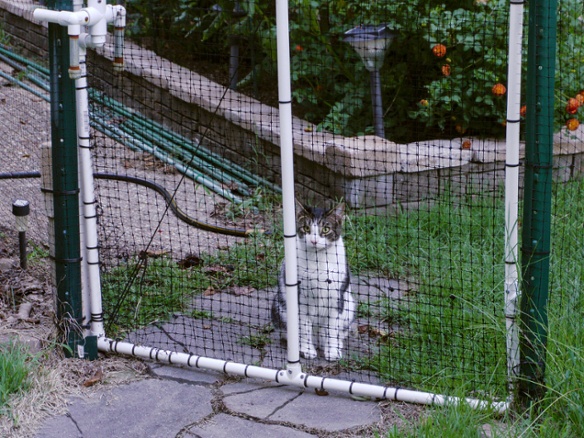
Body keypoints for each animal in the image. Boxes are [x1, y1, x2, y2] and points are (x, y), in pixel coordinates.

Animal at [270, 200, 356, 362]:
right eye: (306, 228)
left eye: (326, 229)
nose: (314, 240)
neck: (318, 261)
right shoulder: (300, 300)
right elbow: (304, 327)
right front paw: (307, 350)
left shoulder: (337, 298)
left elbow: (331, 329)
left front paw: (332, 351)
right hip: (279, 306)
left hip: (349, 305)